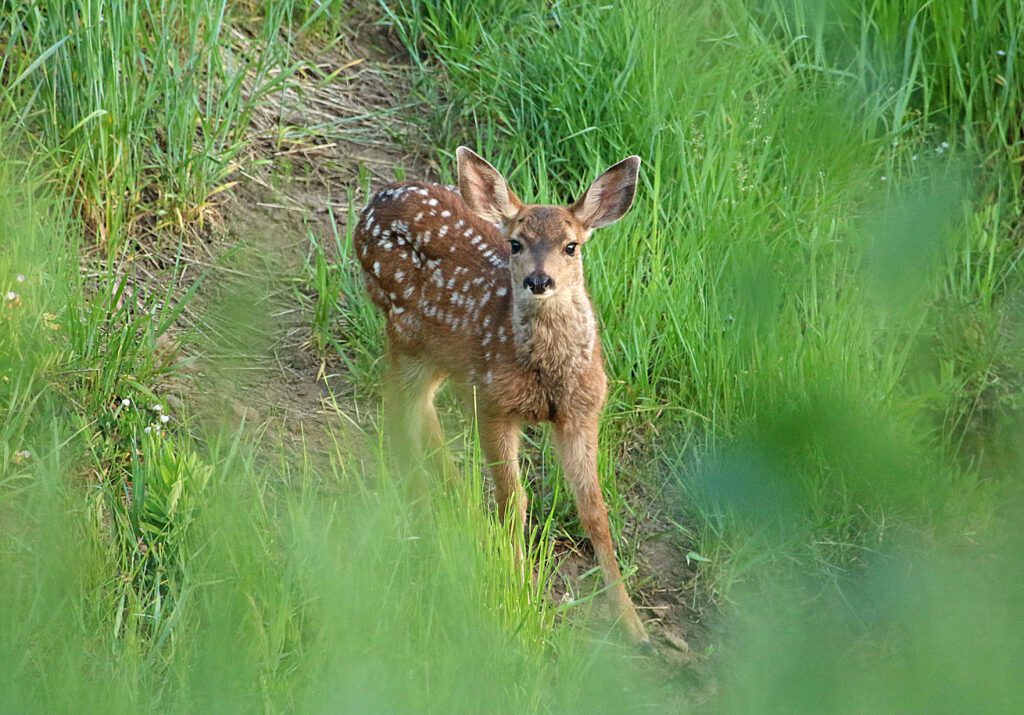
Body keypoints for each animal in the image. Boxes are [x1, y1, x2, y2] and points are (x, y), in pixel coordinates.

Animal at [352, 147, 647, 643]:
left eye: (572, 246)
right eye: (516, 244)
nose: (539, 281)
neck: (548, 375)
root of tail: (376, 200)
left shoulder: (581, 413)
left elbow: (594, 511)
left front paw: (633, 623)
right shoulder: (495, 405)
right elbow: (515, 502)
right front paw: (523, 589)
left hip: (441, 352)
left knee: (422, 407)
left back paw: (457, 499)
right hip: (405, 329)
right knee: (399, 410)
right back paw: (424, 509)